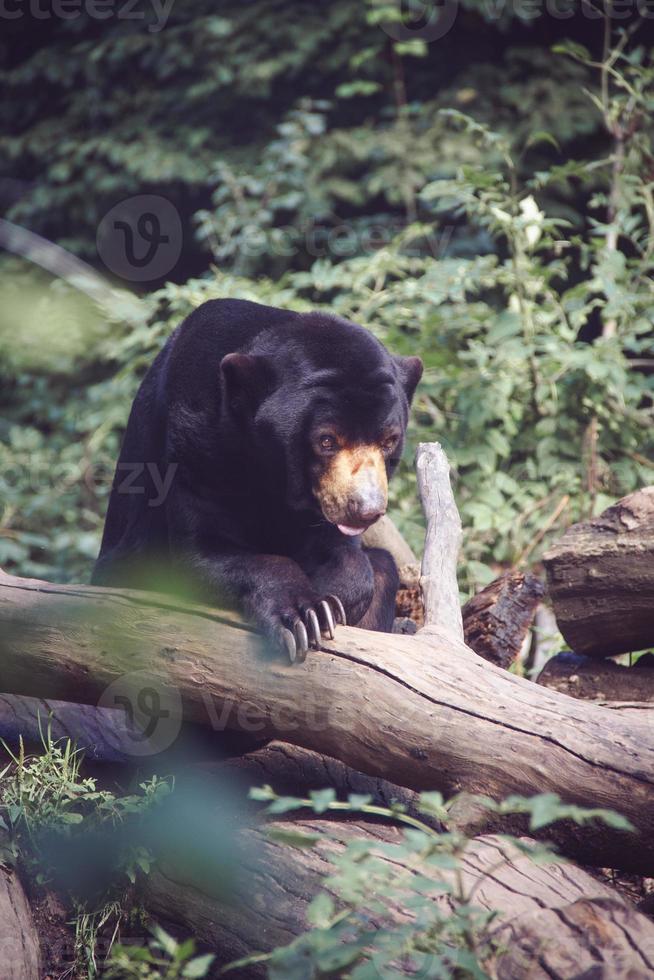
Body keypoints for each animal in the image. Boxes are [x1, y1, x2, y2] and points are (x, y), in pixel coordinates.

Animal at [95, 300, 426, 668]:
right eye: (326, 440)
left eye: (389, 441)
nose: (366, 509)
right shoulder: (194, 443)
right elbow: (201, 550)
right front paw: (306, 614)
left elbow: (349, 558)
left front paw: (331, 599)